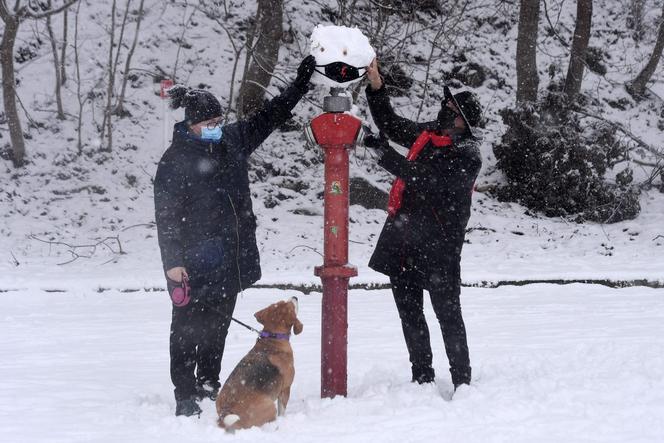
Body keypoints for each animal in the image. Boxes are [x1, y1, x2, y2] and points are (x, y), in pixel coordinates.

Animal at [215, 296, 304, 432]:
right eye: (290, 305)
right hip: (270, 406)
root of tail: (225, 411)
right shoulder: (285, 389)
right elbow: (282, 410)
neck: (273, 338)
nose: (295, 297)